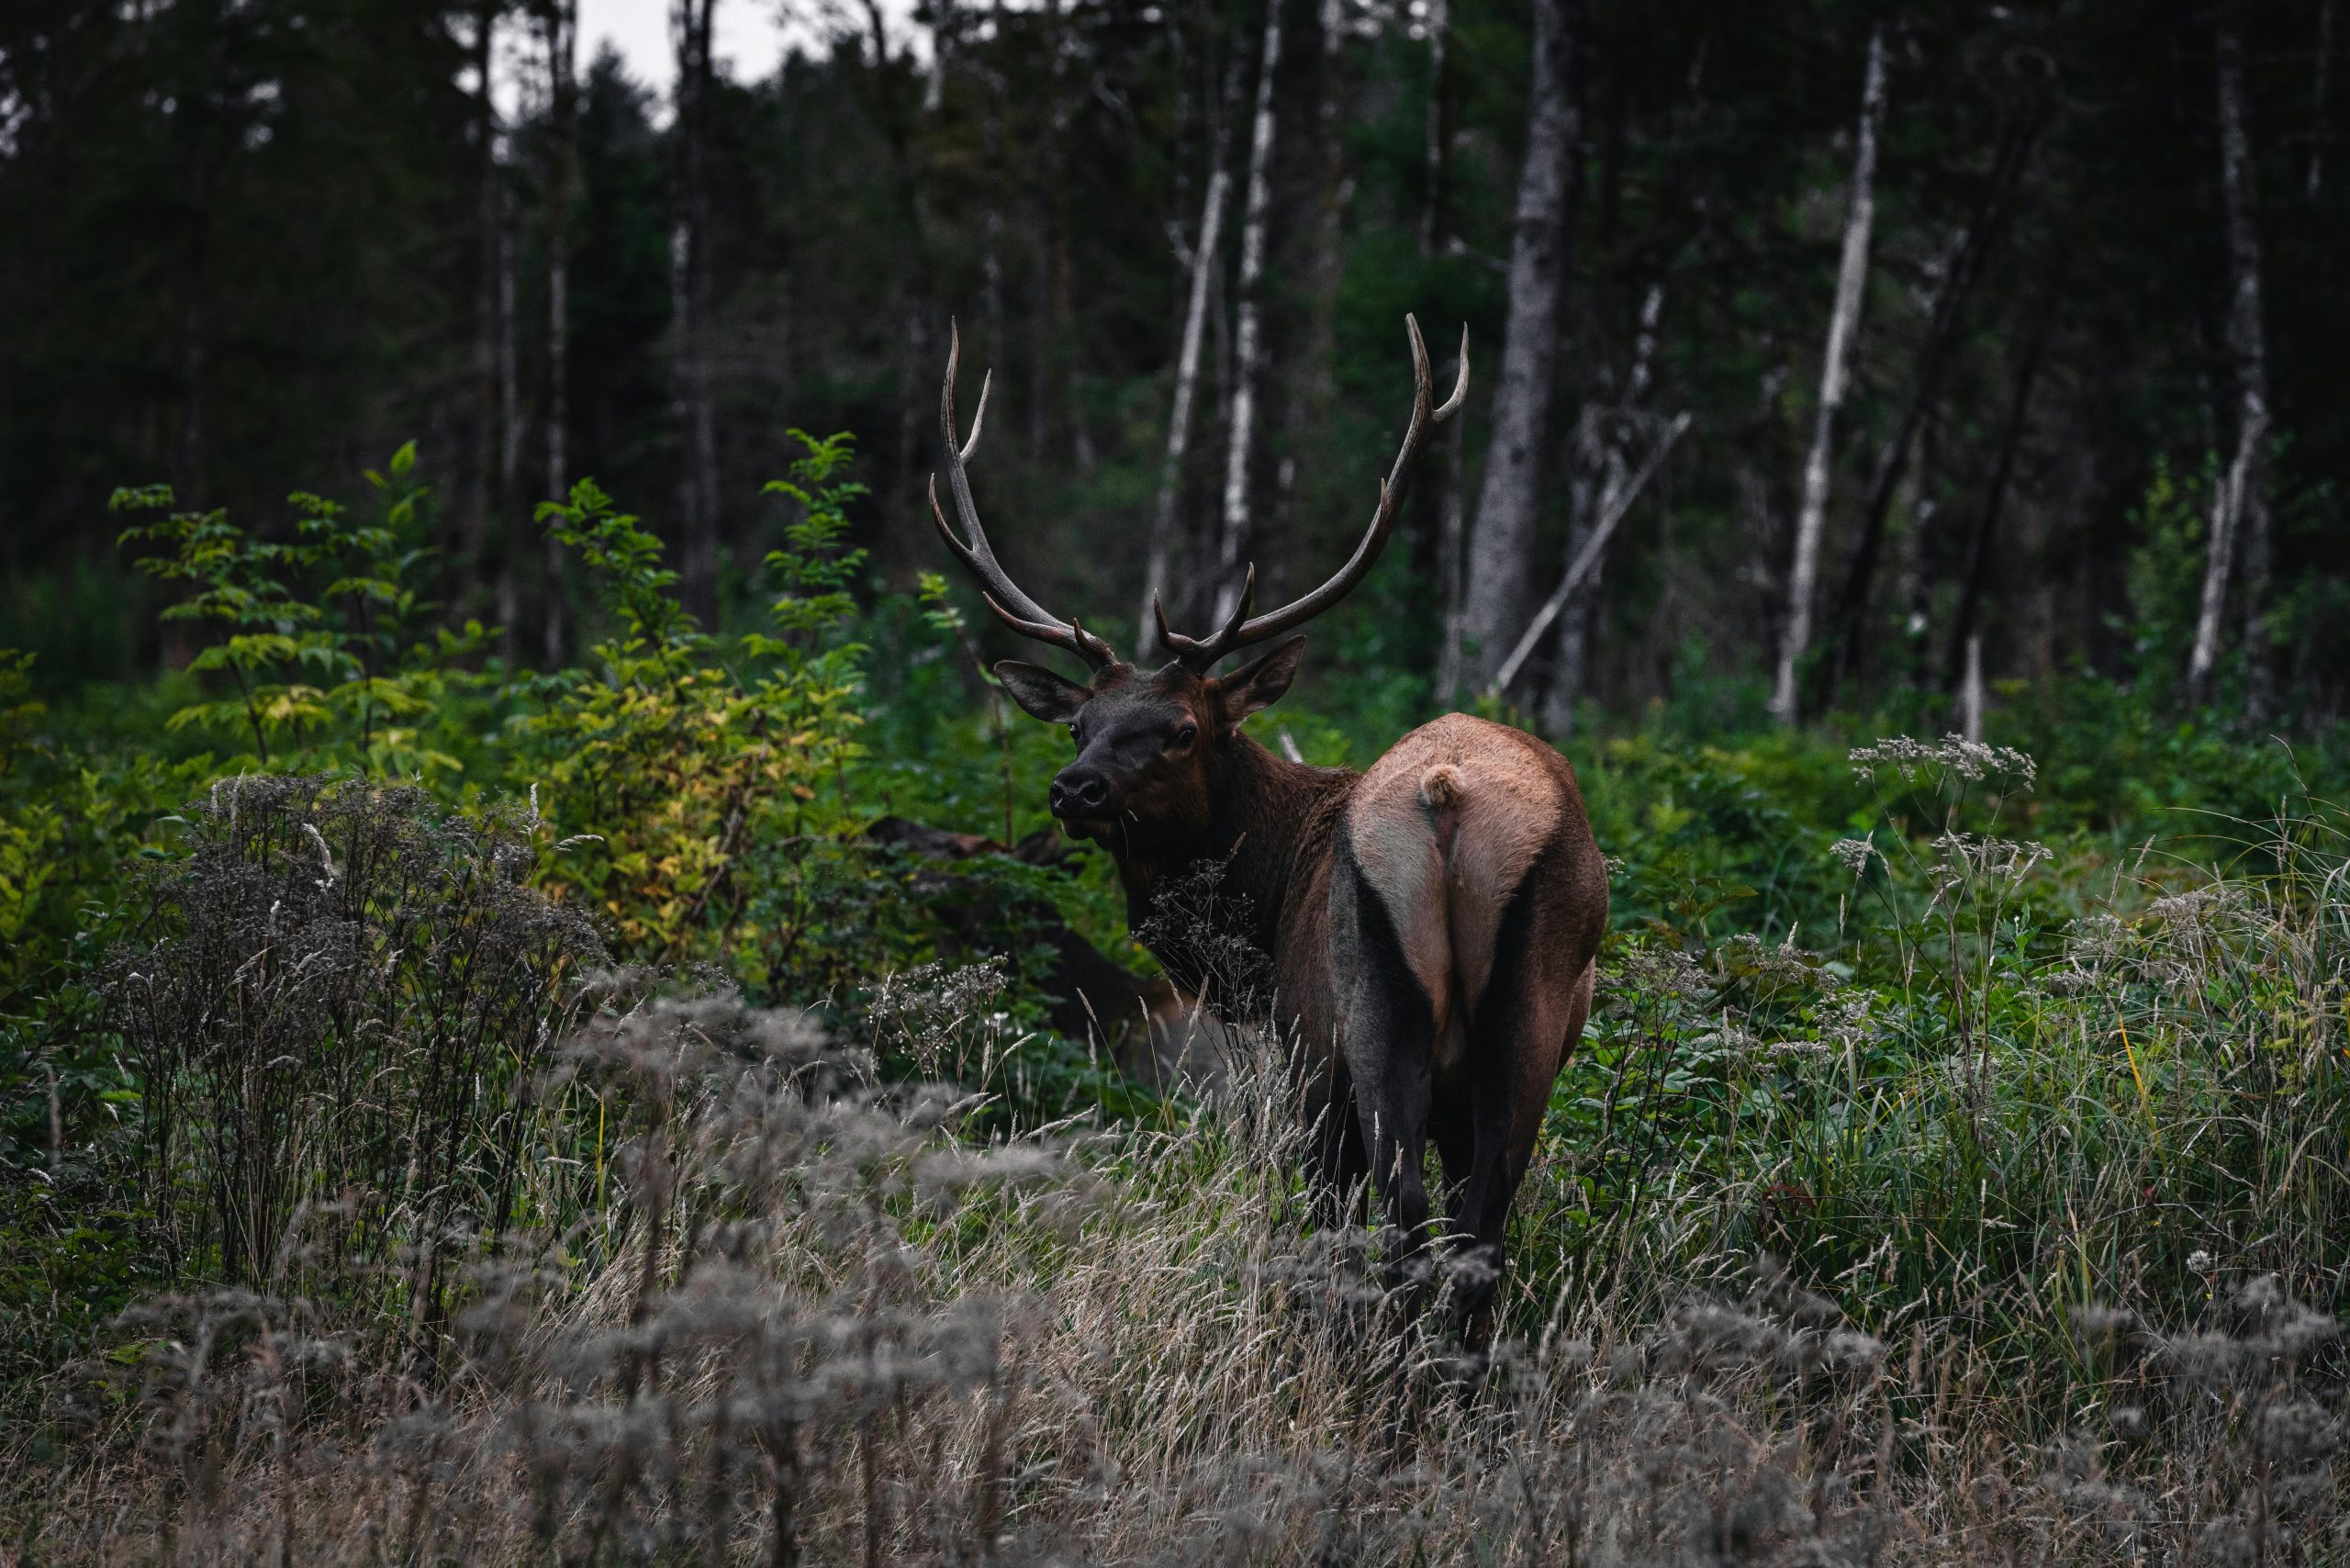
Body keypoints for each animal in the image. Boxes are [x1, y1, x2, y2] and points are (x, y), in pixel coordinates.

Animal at [929, 315, 1610, 1335]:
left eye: (1181, 729)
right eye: (1081, 725)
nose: (1074, 790)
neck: (1263, 901)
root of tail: (1446, 796)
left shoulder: (1300, 1051)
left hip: (1367, 1021)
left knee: (1397, 1225)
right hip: (1523, 1032)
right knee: (1476, 1239)